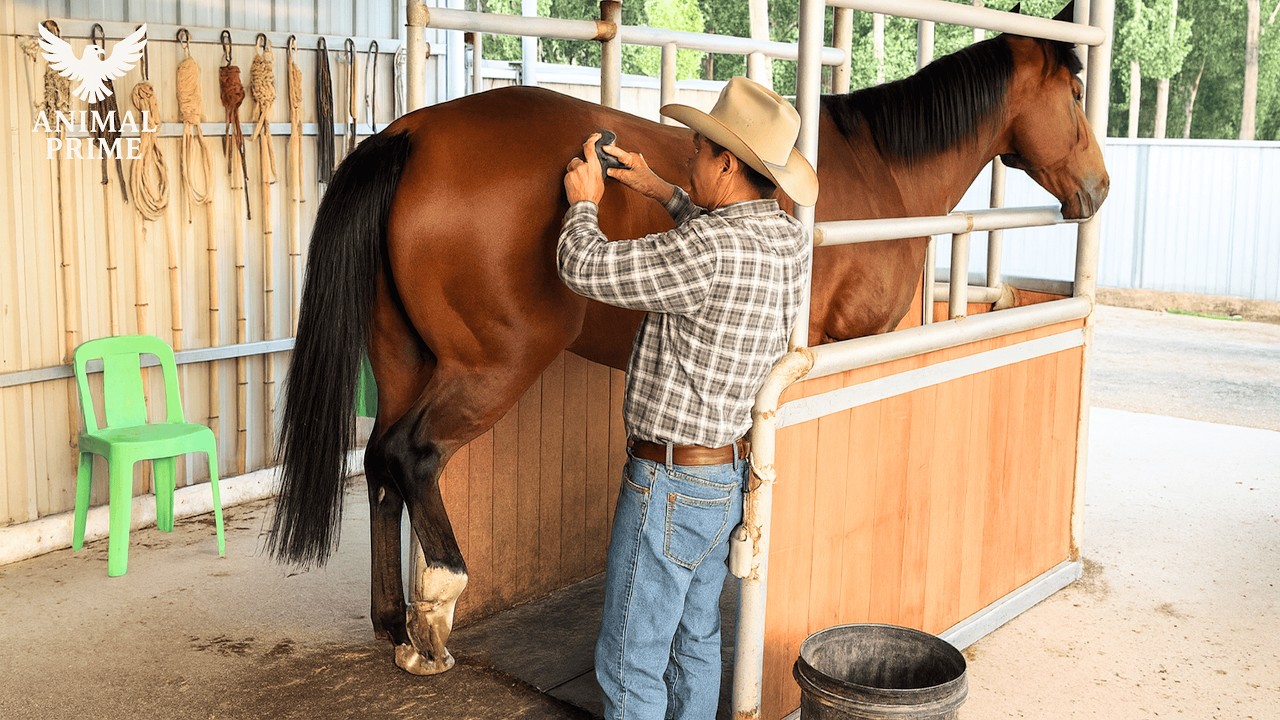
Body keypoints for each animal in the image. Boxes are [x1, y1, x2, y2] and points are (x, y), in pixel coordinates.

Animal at [267, 18, 1109, 675]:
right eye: (1075, 93)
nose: (1097, 190)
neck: (881, 173)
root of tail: (410, 134)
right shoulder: (837, 350)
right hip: (490, 366)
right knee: (411, 456)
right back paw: (437, 606)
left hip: (403, 361)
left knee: (381, 470)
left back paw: (394, 625)